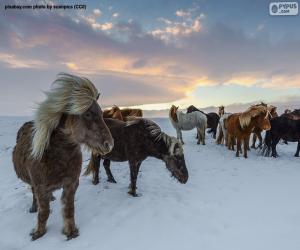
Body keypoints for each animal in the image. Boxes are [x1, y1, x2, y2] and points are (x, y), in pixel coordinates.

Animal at [11, 73, 113, 240]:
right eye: (88, 114)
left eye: (101, 113)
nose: (109, 144)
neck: (58, 158)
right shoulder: (40, 187)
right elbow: (44, 212)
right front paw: (38, 233)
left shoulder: (71, 184)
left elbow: (69, 209)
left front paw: (70, 232)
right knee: (34, 194)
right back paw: (34, 207)